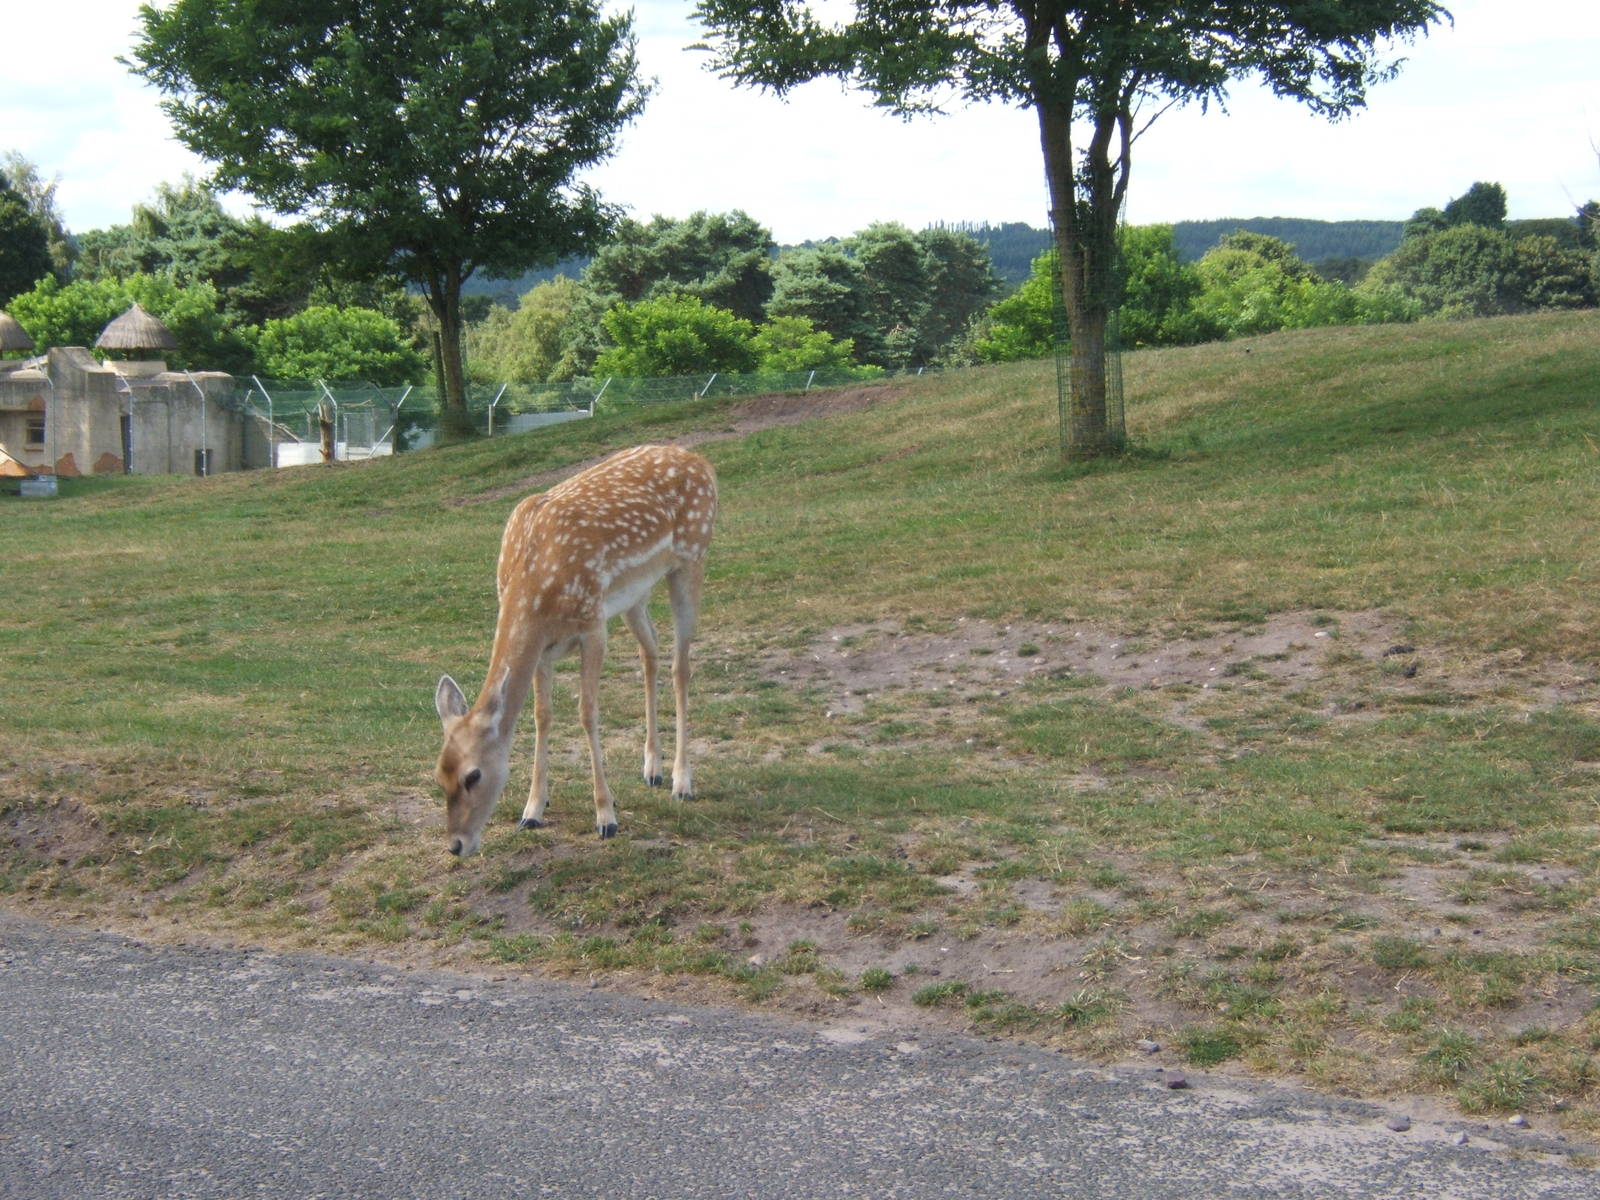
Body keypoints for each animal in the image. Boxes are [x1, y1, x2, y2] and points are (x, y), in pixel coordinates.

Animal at [433, 444, 716, 858]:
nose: (456, 844)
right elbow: (542, 715)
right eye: (440, 775)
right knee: (650, 651)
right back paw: (652, 768)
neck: (536, 588)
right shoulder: (544, 647)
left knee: (681, 666)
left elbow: (587, 712)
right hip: (634, 594)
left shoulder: (592, 626)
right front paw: (533, 809)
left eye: (474, 775)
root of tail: (702, 462)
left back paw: (682, 781)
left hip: (692, 558)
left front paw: (606, 816)